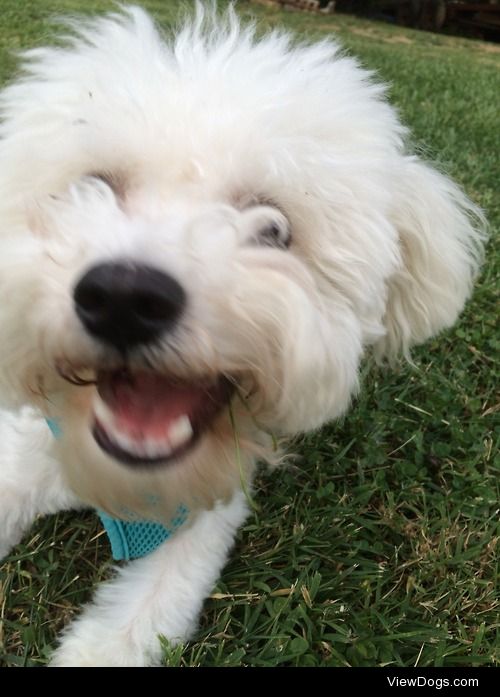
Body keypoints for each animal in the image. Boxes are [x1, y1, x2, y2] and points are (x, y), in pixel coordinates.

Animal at [0, 2, 484, 668]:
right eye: (91, 187)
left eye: (274, 229)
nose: (124, 298)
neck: (119, 487)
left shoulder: (205, 522)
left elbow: (131, 629)